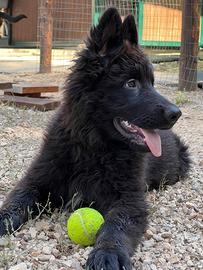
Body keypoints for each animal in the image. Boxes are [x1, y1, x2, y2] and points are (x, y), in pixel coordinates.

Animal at [0, 7, 190, 268]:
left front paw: (109, 252)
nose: (176, 114)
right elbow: (16, 202)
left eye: (152, 82)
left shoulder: (129, 200)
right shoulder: (35, 181)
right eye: (131, 83)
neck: (92, 146)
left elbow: (115, 225)